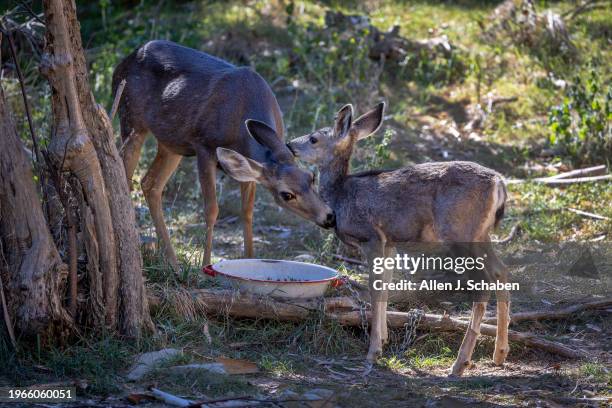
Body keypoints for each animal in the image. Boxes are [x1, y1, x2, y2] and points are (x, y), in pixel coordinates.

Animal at [112, 41, 338, 270]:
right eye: (287, 194)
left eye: (311, 177)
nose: (329, 217)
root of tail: (122, 64)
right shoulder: (204, 145)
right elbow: (211, 209)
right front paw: (205, 266)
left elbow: (247, 212)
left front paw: (249, 259)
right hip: (131, 119)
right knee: (124, 174)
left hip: (171, 142)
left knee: (150, 183)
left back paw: (173, 263)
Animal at [290, 103, 510, 376]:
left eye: (313, 138)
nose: (290, 144)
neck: (341, 196)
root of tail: (499, 183)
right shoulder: (390, 243)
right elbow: (386, 286)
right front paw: (383, 340)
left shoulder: (371, 236)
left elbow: (374, 289)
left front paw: (373, 352)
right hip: (481, 234)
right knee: (501, 271)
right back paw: (499, 354)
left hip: (459, 232)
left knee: (483, 282)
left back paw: (459, 364)